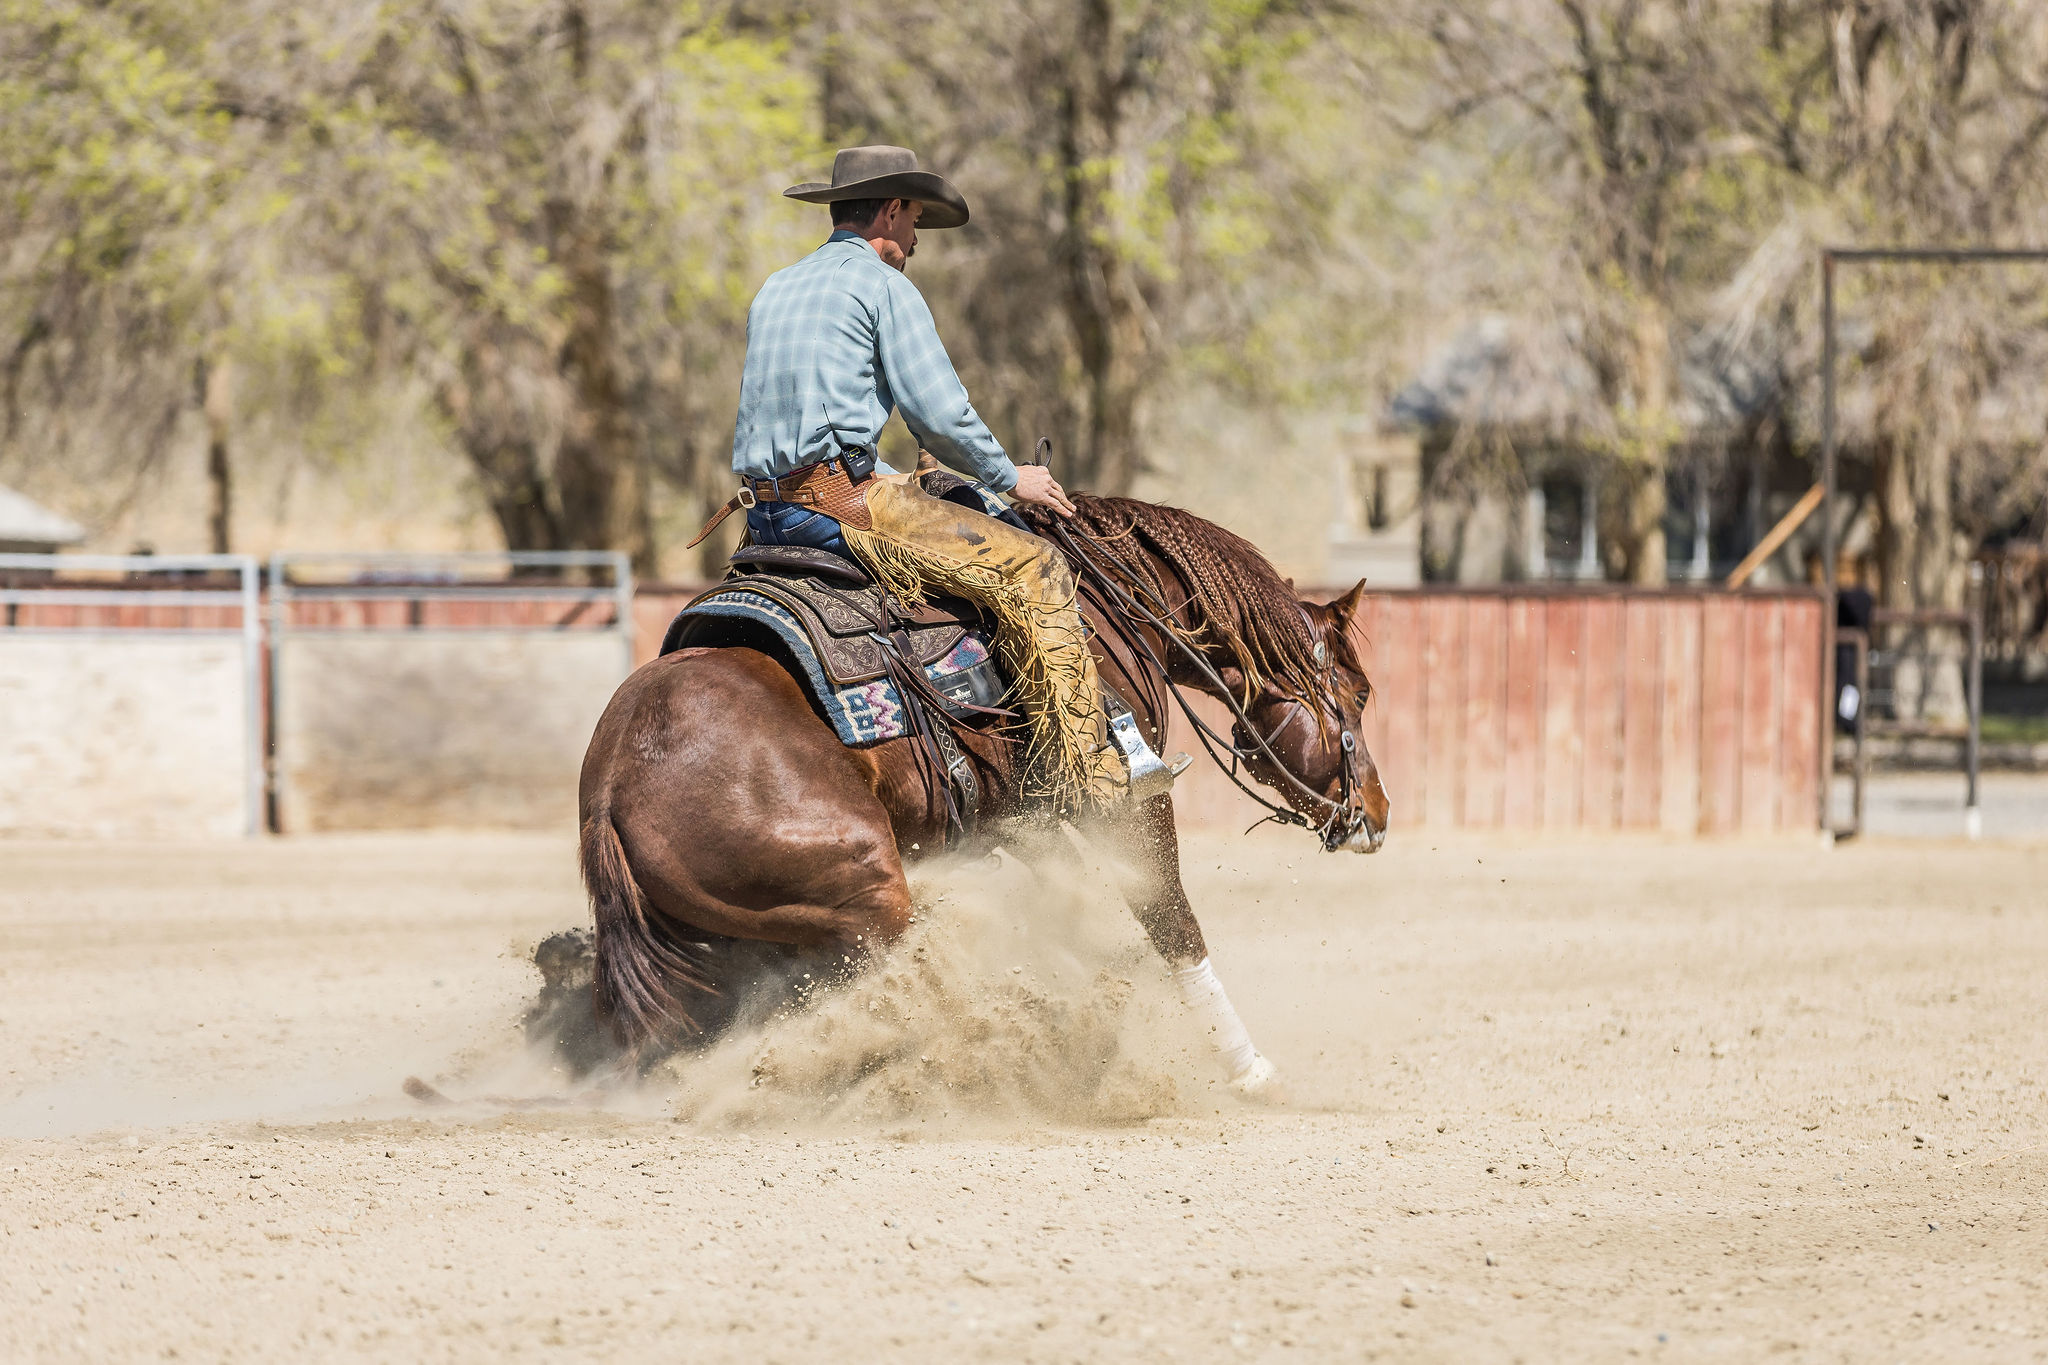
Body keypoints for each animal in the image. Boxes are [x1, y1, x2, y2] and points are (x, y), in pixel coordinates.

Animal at [576, 492, 1390, 1079]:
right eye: (1360, 692)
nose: (1377, 812)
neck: (1110, 608)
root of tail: (614, 786)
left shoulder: (1023, 821)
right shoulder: (1130, 800)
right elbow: (1171, 921)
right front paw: (1246, 1065)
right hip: (869, 888)